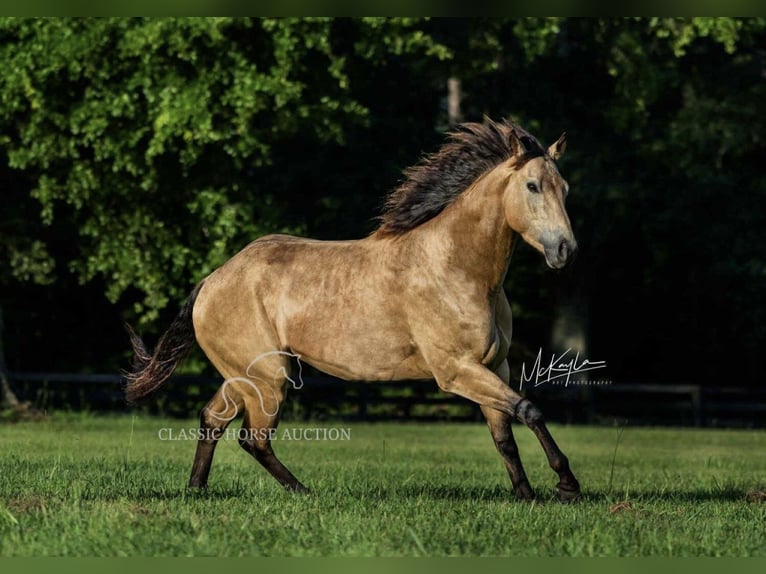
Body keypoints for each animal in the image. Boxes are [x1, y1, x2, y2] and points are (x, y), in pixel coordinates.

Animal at [124, 118, 581, 502]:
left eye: (564, 188)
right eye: (533, 186)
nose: (565, 250)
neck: (457, 267)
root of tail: (212, 280)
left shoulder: (494, 366)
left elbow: (504, 435)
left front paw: (526, 495)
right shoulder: (457, 370)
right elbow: (529, 409)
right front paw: (566, 485)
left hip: (244, 375)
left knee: (212, 419)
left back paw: (197, 490)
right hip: (268, 377)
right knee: (253, 438)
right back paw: (303, 492)